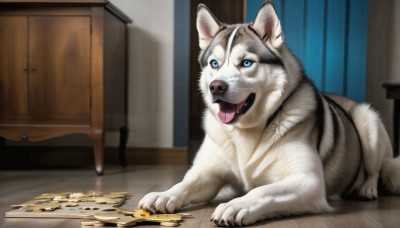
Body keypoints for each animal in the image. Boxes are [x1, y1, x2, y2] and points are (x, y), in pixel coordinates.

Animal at [138, 0, 400, 226]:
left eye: (246, 63)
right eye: (214, 64)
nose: (216, 87)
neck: (247, 130)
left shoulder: (309, 181)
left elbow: (262, 190)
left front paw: (236, 205)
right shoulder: (207, 172)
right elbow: (186, 183)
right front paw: (164, 194)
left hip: (367, 120)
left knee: (375, 170)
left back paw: (367, 188)